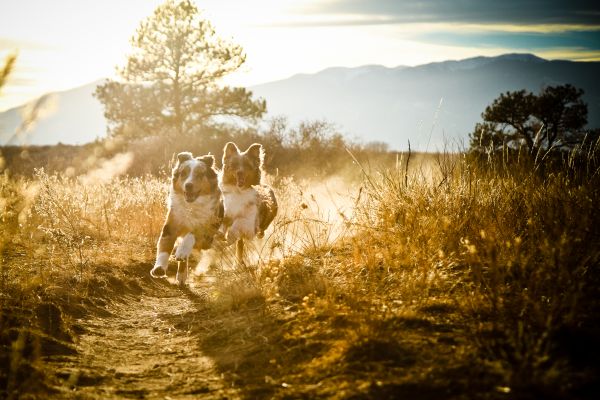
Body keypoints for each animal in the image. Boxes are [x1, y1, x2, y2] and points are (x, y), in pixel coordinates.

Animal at [151, 151, 224, 284]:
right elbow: (164, 246)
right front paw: (159, 268)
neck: (191, 206)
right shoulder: (171, 225)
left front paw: (181, 251)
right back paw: (181, 275)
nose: (188, 185)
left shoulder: (206, 231)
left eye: (200, 174)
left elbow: (191, 234)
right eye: (183, 173)